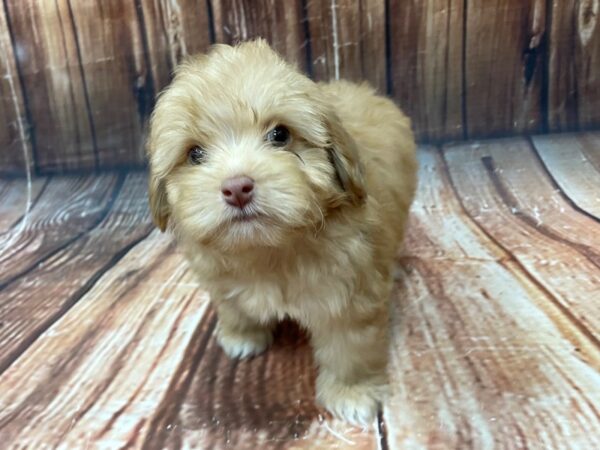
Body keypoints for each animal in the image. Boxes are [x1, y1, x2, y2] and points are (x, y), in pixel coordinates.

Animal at [146, 39, 418, 426]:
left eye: (280, 135)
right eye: (195, 154)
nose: (237, 188)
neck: (269, 249)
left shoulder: (348, 297)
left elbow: (350, 347)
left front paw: (352, 392)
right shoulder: (219, 277)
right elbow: (233, 306)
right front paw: (242, 335)